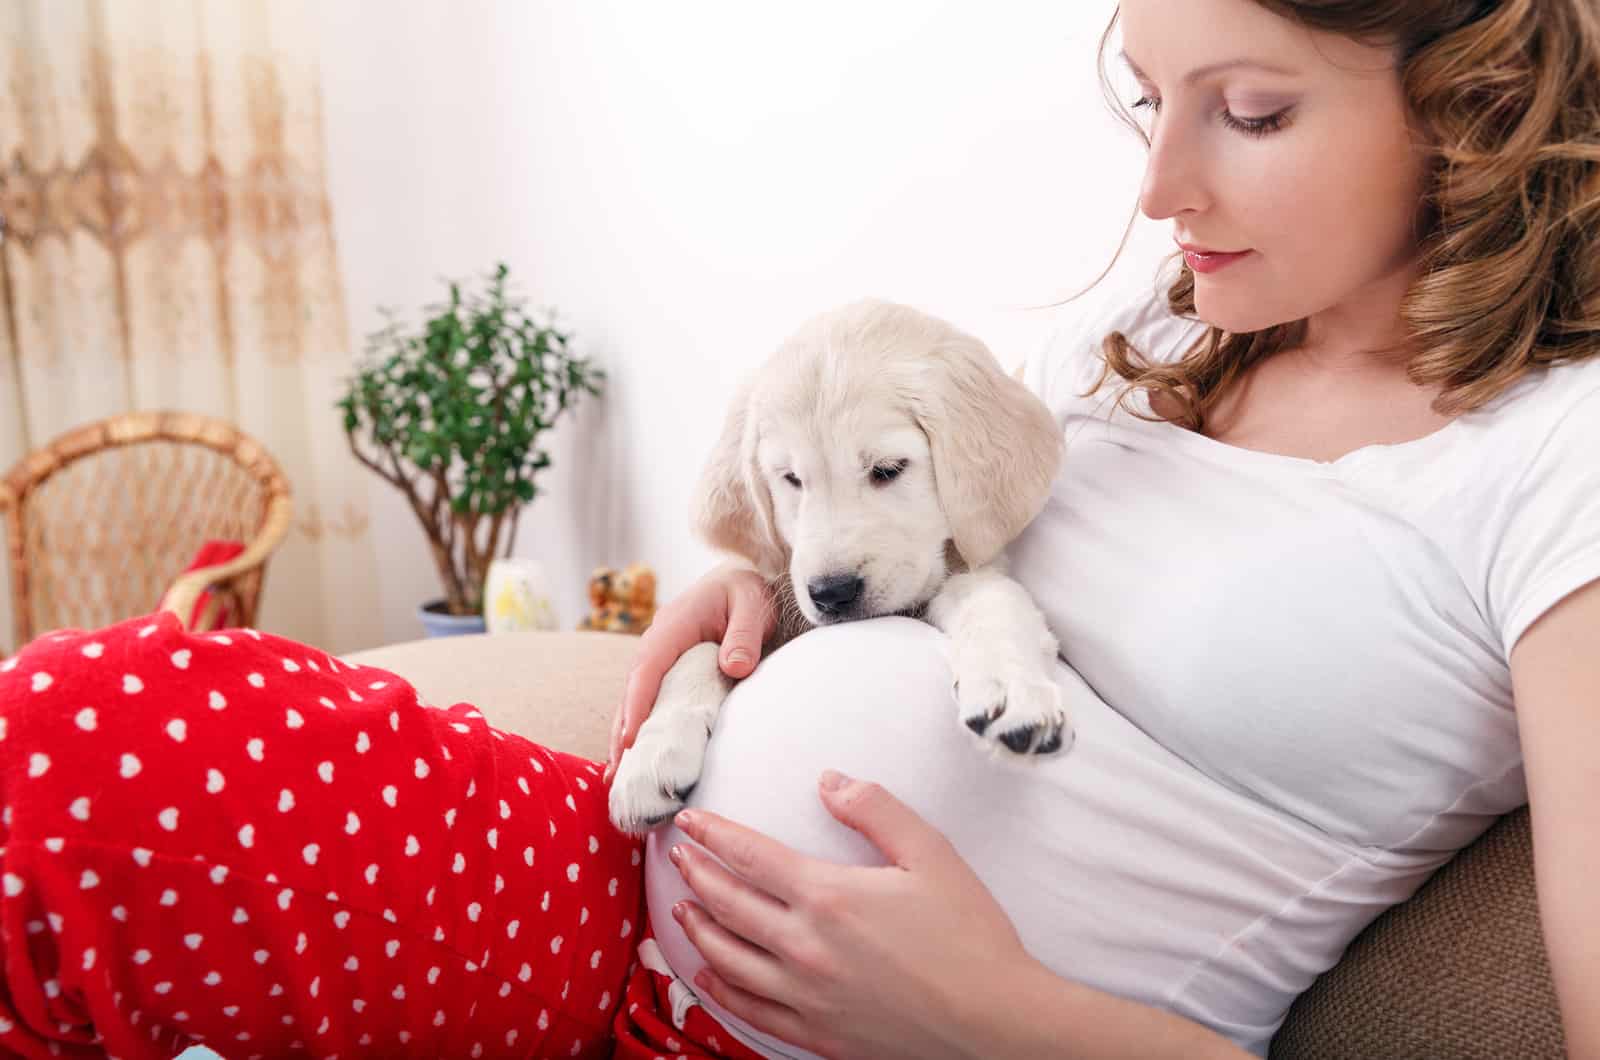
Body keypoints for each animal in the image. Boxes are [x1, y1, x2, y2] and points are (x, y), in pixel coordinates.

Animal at [611, 299, 1075, 839]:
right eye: (791, 479)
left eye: (888, 469)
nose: (832, 593)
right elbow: (699, 649)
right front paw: (651, 755)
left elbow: (992, 600)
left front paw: (1012, 689)